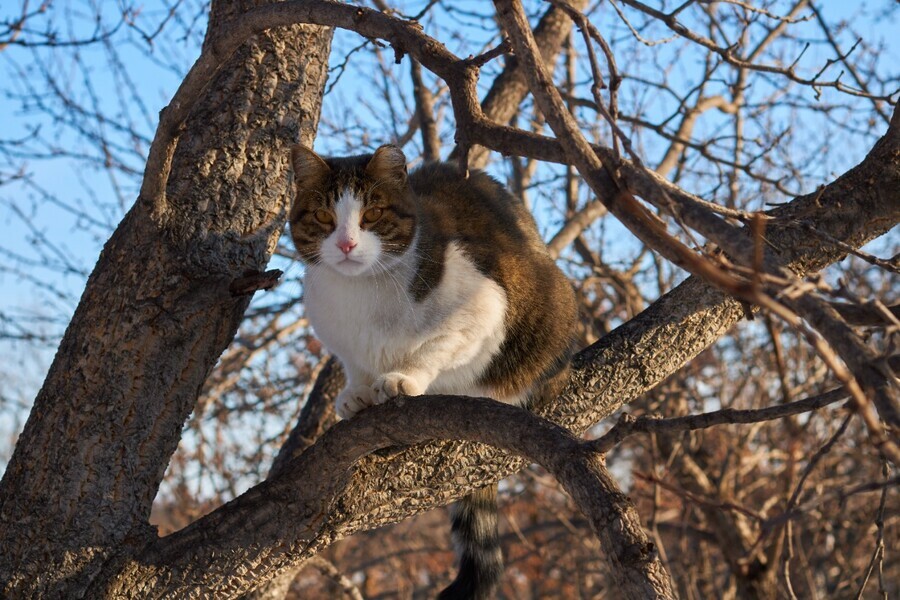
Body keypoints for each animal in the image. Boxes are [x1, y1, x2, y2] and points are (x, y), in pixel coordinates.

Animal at [288, 144, 576, 600]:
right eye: (323, 216)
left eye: (372, 214)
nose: (347, 244)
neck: (360, 296)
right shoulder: (339, 340)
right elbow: (354, 365)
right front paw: (356, 392)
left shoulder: (483, 306)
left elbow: (435, 348)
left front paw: (401, 378)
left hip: (550, 307)